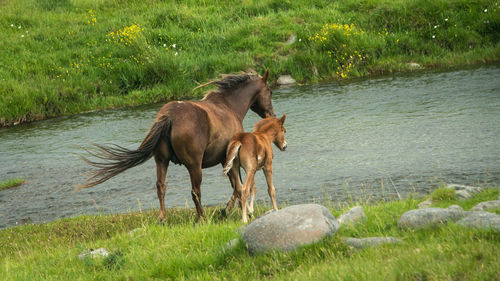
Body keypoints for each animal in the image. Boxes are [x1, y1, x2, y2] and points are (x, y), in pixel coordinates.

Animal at [77, 69, 278, 220]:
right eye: (269, 91)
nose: (271, 114)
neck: (228, 106)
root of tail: (170, 115)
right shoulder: (228, 160)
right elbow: (238, 187)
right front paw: (227, 211)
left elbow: (237, 187)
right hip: (194, 165)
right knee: (195, 192)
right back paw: (202, 218)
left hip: (161, 160)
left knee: (161, 187)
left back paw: (163, 218)